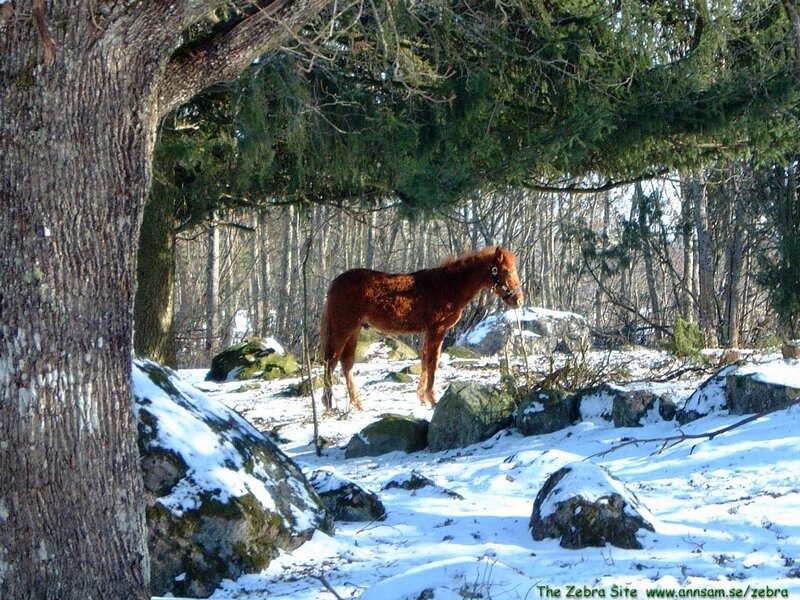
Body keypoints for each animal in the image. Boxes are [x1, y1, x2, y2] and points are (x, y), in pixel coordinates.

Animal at [319, 246, 523, 411]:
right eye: (505, 271)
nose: (519, 300)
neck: (448, 286)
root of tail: (334, 283)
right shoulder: (436, 329)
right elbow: (433, 362)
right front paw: (433, 399)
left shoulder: (428, 332)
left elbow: (425, 361)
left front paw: (422, 398)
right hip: (343, 328)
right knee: (331, 362)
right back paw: (329, 405)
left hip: (354, 330)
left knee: (346, 363)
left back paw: (356, 403)